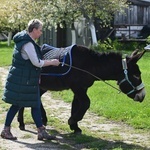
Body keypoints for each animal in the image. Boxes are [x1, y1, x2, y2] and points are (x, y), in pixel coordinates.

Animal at [17, 44, 145, 134]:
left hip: (43, 86)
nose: (142, 96)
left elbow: (76, 105)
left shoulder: (82, 89)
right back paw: (22, 123)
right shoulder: (77, 88)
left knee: (36, 99)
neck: (90, 65)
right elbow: (86, 103)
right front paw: (72, 121)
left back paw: (42, 119)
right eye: (136, 75)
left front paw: (75, 127)